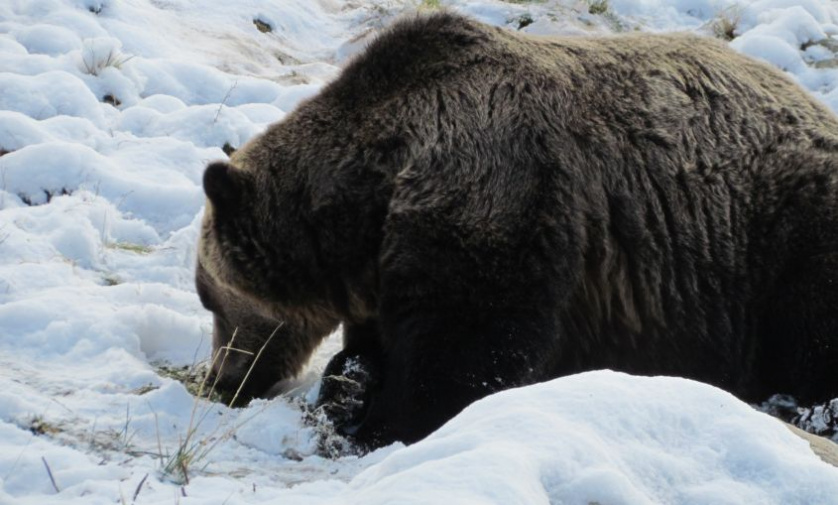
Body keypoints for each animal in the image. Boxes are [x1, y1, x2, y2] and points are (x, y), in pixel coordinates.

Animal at [195, 10, 838, 444]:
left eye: (209, 299)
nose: (221, 379)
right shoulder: (386, 262)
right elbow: (377, 344)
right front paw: (347, 387)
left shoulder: (497, 191)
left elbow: (470, 349)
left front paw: (387, 422)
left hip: (780, 233)